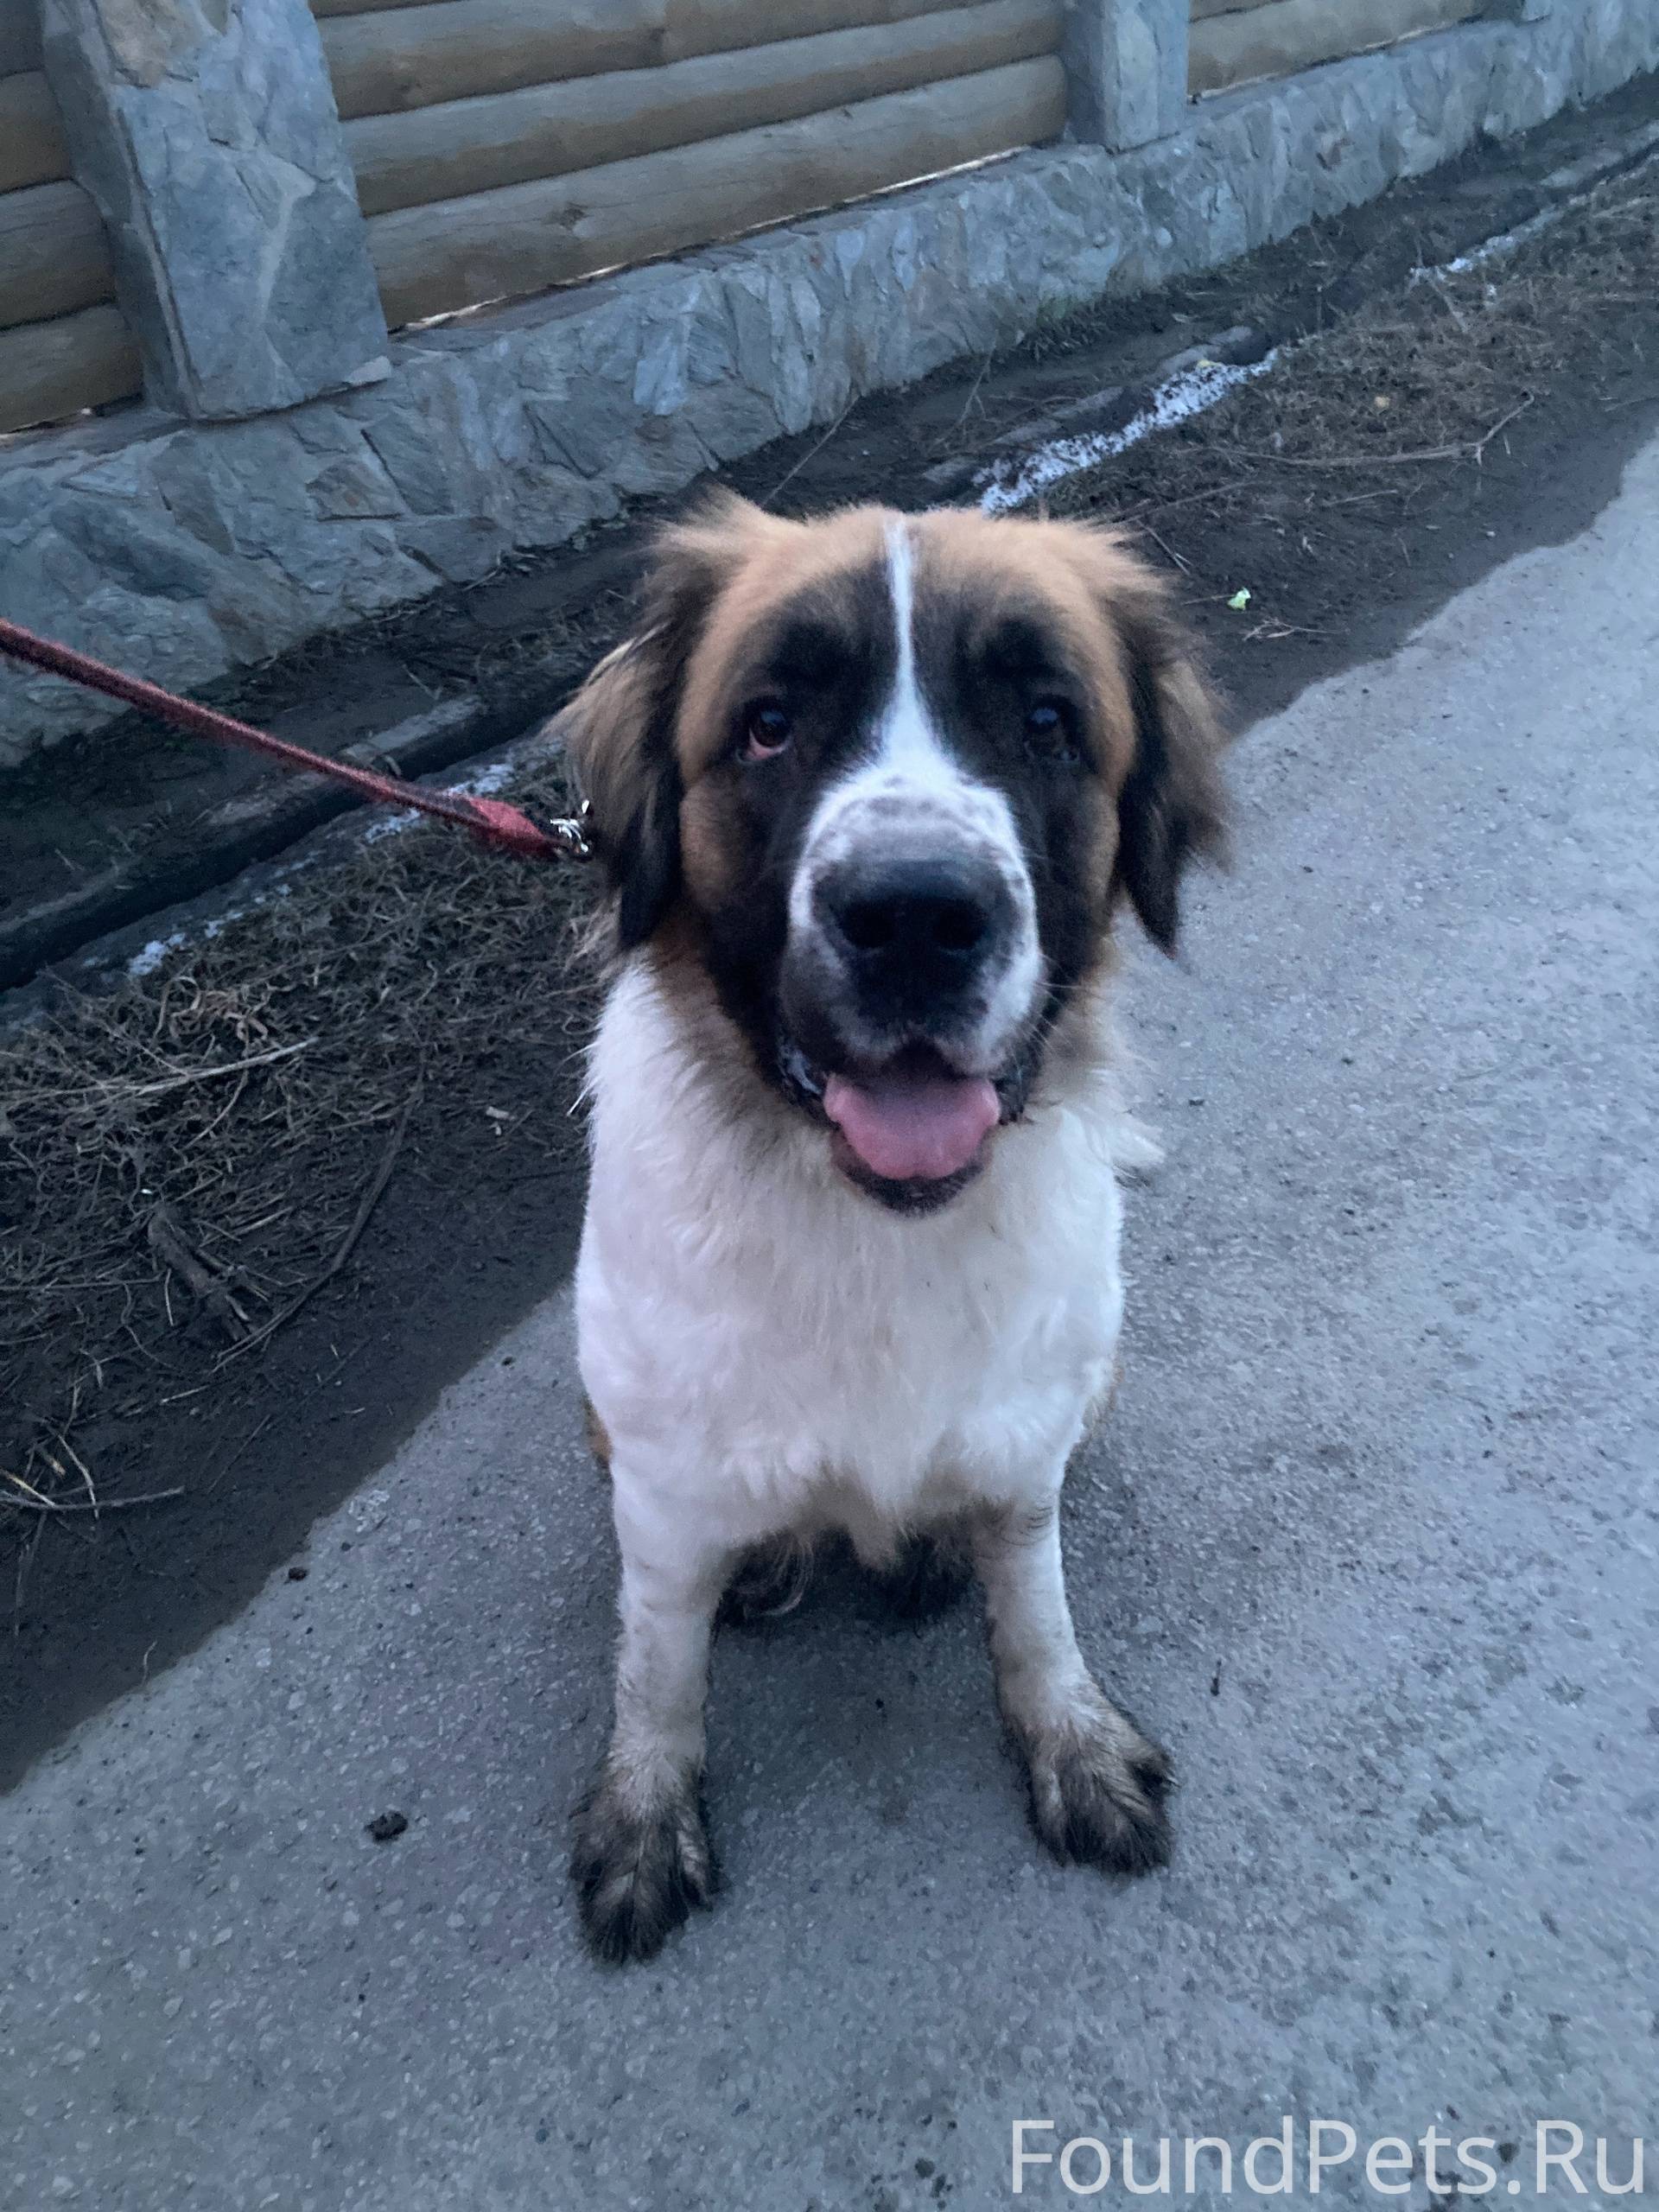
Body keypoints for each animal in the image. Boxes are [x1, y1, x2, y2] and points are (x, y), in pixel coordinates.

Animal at [562, 493, 1227, 1963]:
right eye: (768, 726)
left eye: (1046, 721)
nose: (917, 916)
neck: (874, 1221)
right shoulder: (663, 1488)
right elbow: (656, 1666)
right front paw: (644, 1816)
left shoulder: (1027, 1435)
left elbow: (1035, 1608)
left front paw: (1072, 1746)